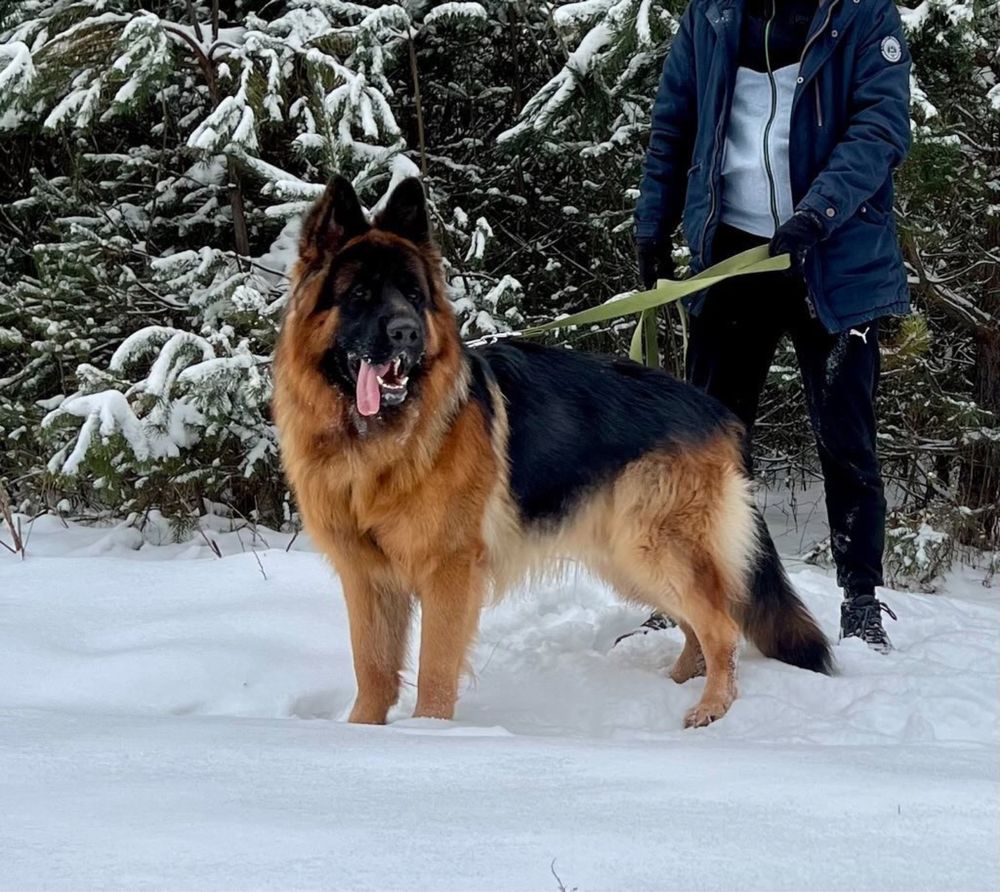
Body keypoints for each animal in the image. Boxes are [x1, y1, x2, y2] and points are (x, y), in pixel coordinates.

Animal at [272, 178, 828, 728]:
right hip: (627, 560)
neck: (379, 446)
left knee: (723, 628)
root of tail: (718, 412)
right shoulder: (367, 580)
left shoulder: (448, 572)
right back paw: (678, 683)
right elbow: (372, 668)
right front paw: (363, 734)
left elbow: (434, 670)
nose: (407, 332)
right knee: (697, 624)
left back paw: (711, 707)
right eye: (360, 296)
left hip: (652, 550)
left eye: (413, 295)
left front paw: (431, 732)